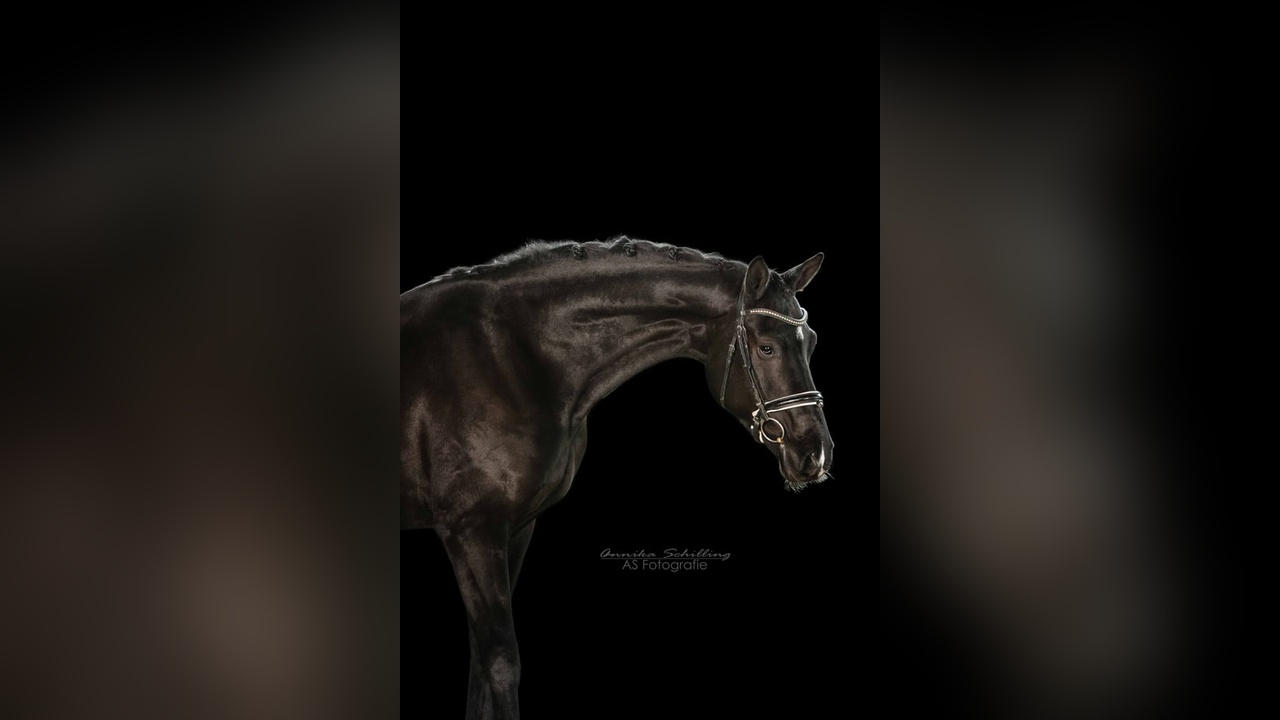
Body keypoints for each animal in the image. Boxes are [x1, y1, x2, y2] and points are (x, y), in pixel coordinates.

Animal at [400, 237, 834, 719]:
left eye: (811, 343)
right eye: (766, 348)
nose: (814, 453)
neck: (511, 356)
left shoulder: (515, 527)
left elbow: (479, 664)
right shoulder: (472, 530)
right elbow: (498, 661)